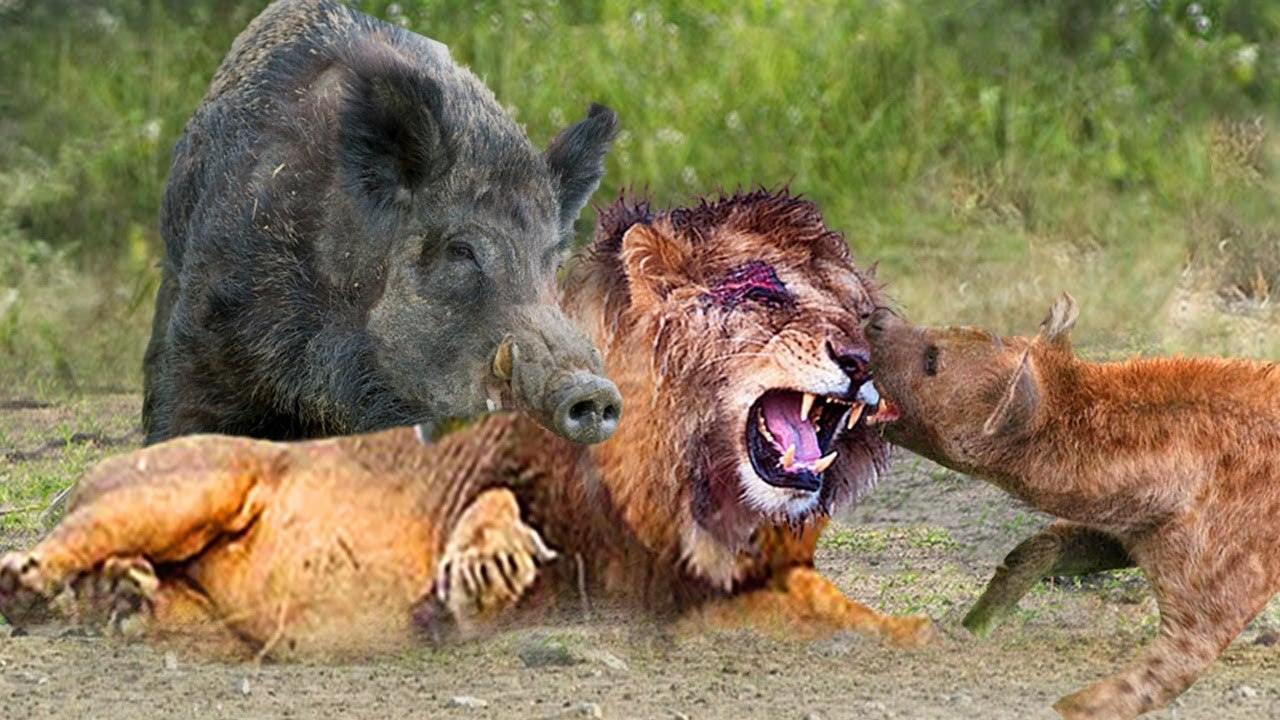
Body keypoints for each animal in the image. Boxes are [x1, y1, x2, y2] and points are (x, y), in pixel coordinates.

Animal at [0, 190, 928, 657]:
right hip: (189, 484)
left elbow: (845, 612)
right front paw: (485, 568)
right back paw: (45, 580)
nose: (861, 361)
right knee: (53, 552)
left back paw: (124, 597)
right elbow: (497, 497)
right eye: (765, 295)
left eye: (859, 311)